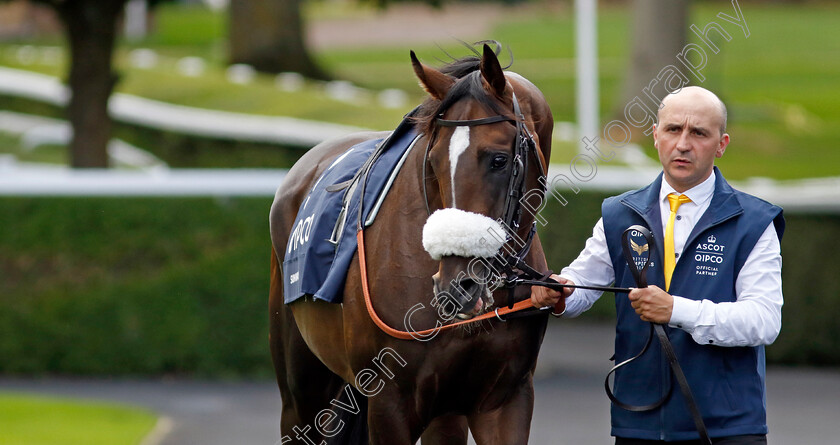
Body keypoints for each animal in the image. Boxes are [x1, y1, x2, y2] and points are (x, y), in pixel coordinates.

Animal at [270, 42, 556, 444]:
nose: (457, 287)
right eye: (433, 162)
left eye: (499, 160)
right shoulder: (389, 400)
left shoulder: (507, 398)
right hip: (302, 390)